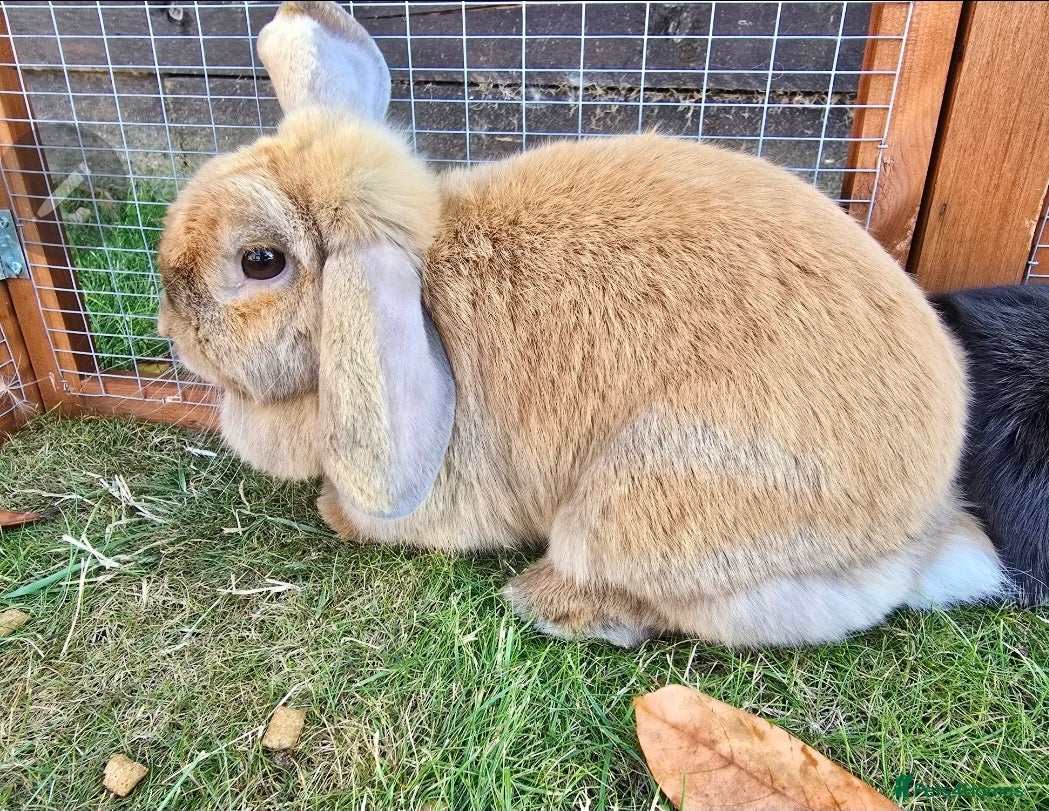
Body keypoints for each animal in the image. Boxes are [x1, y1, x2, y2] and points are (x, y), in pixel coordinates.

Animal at [155, 0, 1009, 648]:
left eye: (260, 261)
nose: (171, 332)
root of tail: (920, 535)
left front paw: (337, 514)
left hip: (649, 495)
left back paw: (552, 603)